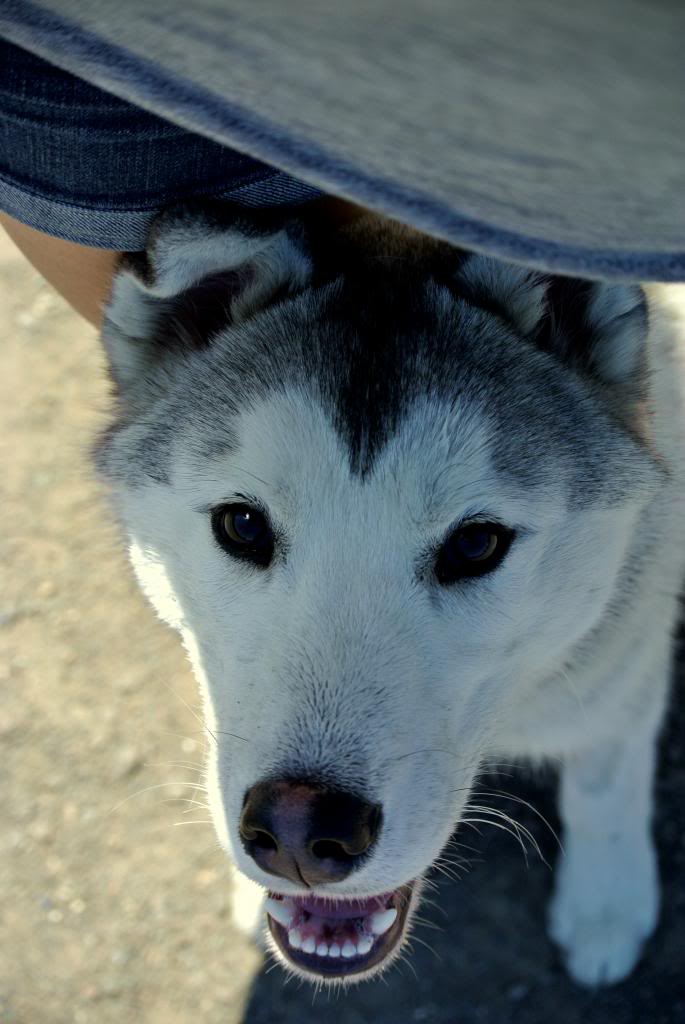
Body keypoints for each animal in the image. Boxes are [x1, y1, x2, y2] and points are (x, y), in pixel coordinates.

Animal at [94, 197, 683, 983]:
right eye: (242, 525)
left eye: (475, 543)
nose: (298, 828)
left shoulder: (627, 649)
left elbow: (604, 777)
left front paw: (605, 903)